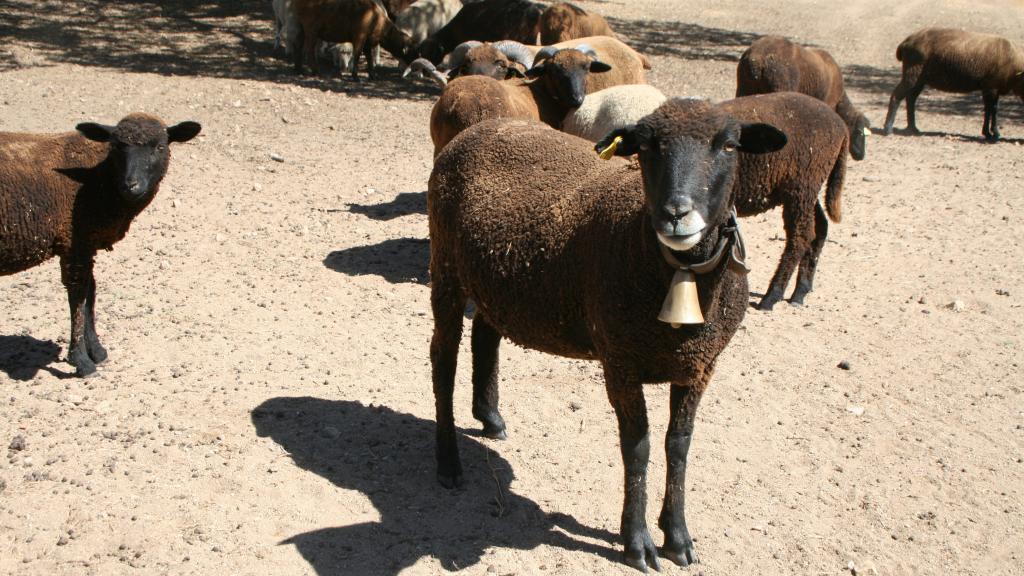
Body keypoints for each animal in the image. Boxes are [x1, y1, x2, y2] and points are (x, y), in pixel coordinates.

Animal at [0, 113, 201, 377]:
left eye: (160, 147)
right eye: (116, 146)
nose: (131, 185)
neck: (100, 178)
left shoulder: (87, 242)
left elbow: (91, 292)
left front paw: (96, 350)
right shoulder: (73, 241)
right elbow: (78, 295)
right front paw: (81, 360)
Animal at [427, 102, 786, 571]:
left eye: (729, 145)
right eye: (647, 147)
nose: (676, 214)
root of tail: (476, 130)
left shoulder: (700, 365)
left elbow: (679, 445)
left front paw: (678, 537)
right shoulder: (620, 361)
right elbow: (637, 447)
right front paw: (638, 543)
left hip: (497, 280)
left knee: (486, 334)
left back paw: (490, 417)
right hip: (446, 267)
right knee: (443, 361)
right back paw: (448, 463)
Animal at [719, 92, 849, 310]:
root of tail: (842, 126)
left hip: (803, 185)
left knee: (801, 236)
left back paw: (772, 296)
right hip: (807, 188)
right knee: (820, 228)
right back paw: (800, 291)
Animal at [882, 28, 1024, 141]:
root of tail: (905, 42)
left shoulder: (991, 88)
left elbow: (990, 109)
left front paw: (989, 133)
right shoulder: (991, 87)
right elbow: (992, 109)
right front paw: (993, 134)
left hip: (919, 78)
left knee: (910, 99)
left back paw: (913, 128)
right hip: (912, 72)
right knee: (896, 96)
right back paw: (888, 129)